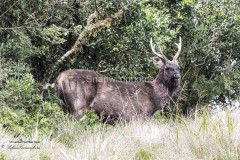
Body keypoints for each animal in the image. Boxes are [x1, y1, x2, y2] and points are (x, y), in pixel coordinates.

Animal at [54, 37, 182, 122]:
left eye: (178, 67)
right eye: (167, 68)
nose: (177, 75)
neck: (154, 98)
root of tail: (59, 79)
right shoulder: (139, 115)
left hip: (65, 106)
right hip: (78, 105)